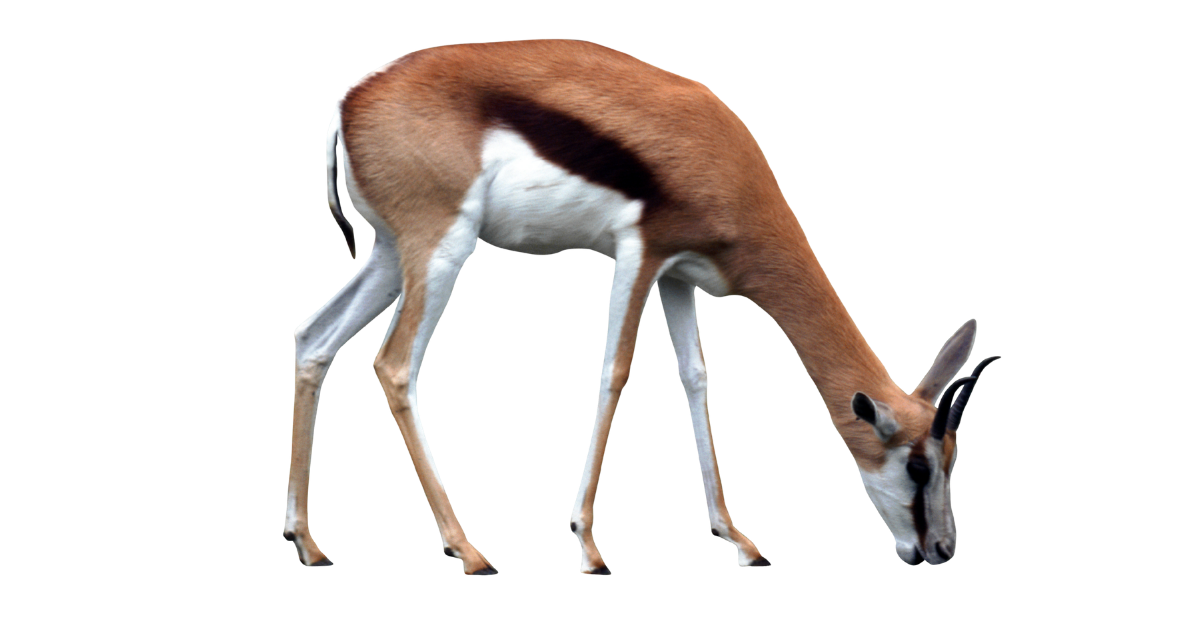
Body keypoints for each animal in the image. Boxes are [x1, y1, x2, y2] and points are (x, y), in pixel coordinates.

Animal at [285, 38, 994, 575]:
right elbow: (616, 372)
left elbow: (697, 379)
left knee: (313, 340)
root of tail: (352, 100)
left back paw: (309, 544)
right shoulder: (639, 252)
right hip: (442, 247)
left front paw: (738, 539)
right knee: (395, 363)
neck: (721, 163)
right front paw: (589, 544)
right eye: (920, 465)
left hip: (389, 254)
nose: (942, 548)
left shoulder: (679, 276)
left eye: (952, 461)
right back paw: (469, 551)